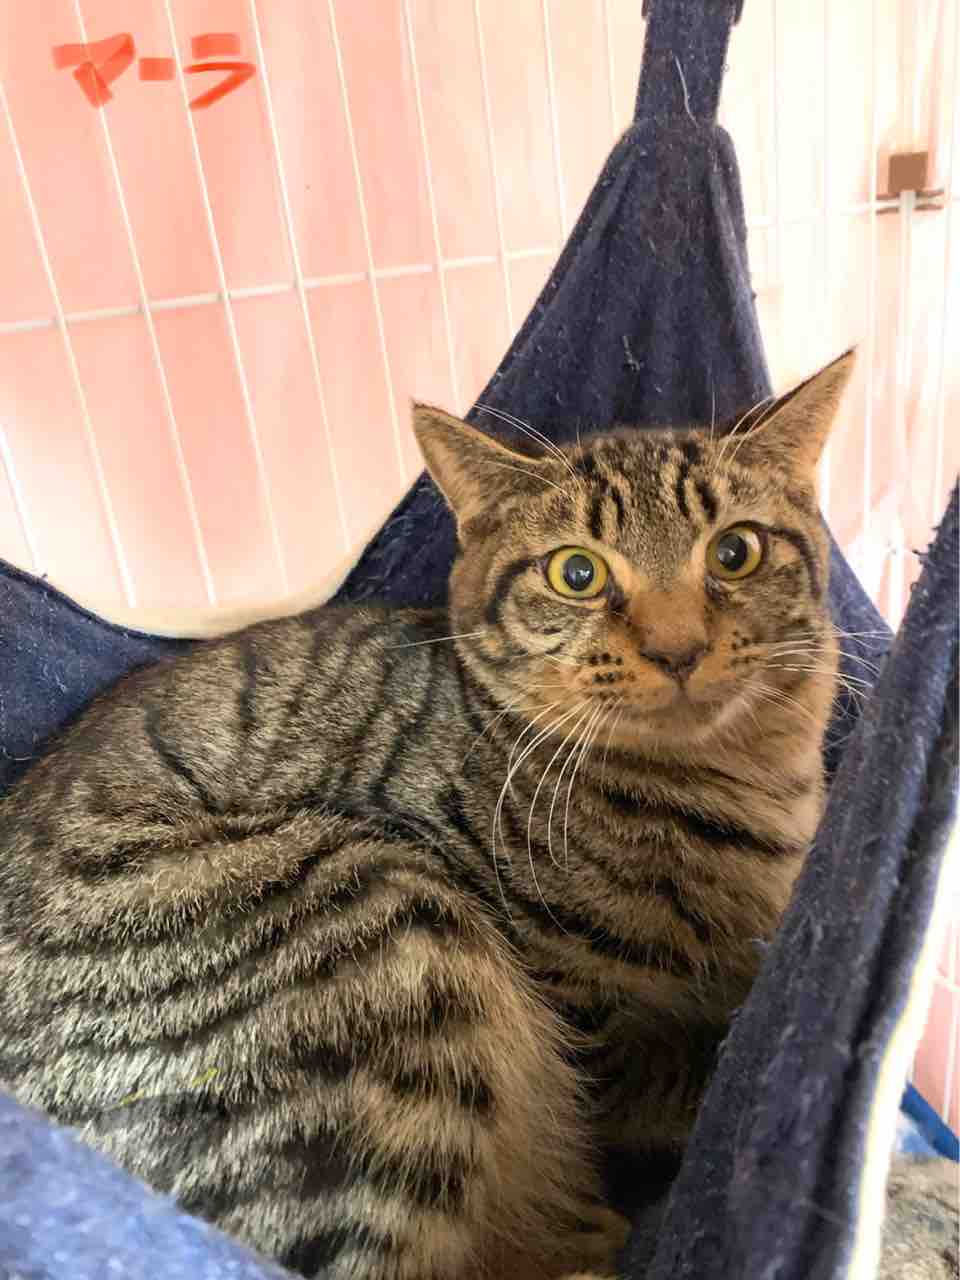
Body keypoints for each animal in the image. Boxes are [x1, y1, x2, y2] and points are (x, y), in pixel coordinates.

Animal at [0, 352, 853, 1279]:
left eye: (736, 552)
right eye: (577, 573)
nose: (678, 649)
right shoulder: (589, 1024)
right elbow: (664, 1084)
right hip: (381, 926)